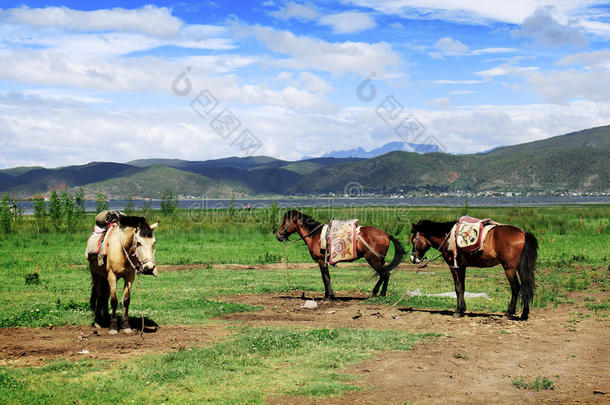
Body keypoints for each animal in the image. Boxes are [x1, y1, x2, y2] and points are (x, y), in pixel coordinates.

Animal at [276, 210, 404, 298]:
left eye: (285, 222)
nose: (278, 235)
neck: (315, 235)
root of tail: (386, 235)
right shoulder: (324, 261)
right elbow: (327, 277)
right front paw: (328, 294)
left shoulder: (321, 261)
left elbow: (325, 278)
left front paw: (328, 296)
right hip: (380, 259)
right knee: (386, 273)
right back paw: (381, 293)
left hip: (373, 259)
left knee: (384, 274)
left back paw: (376, 292)